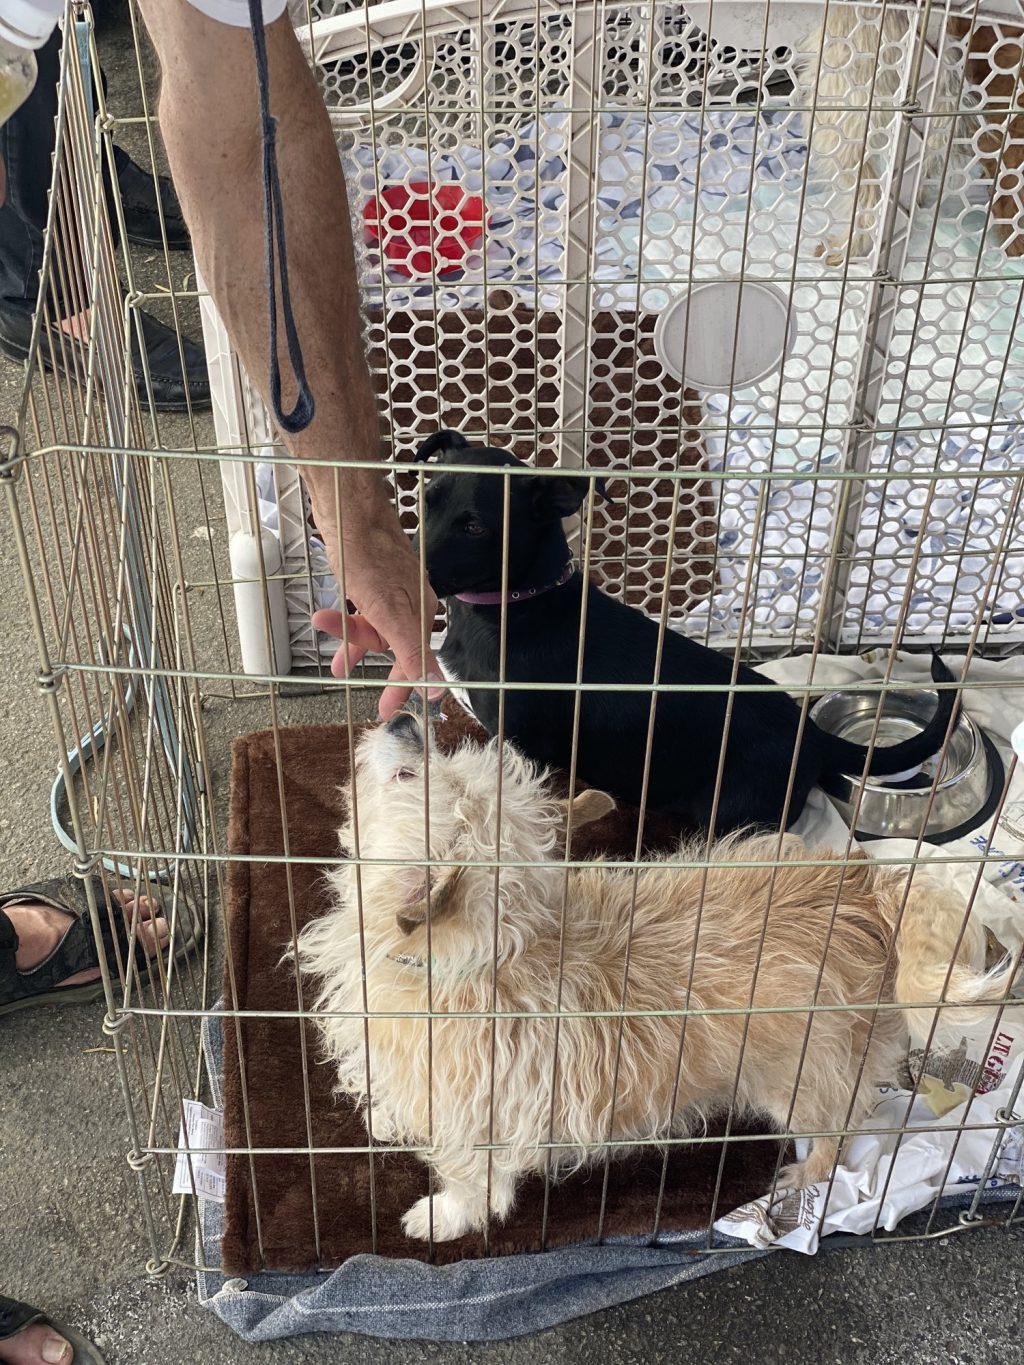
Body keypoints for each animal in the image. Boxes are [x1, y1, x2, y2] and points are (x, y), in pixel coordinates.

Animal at [296, 709, 1021, 1244]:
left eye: (410, 773)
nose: (407, 718)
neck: (484, 949)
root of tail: (868, 890)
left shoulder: (484, 1121)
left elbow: (474, 1181)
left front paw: (442, 1217)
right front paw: (386, 1116)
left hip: (797, 1076)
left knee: (839, 1125)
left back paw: (806, 1176)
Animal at [412, 428, 961, 829]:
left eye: (476, 527)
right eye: (426, 499)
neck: (513, 605)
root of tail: (812, 735)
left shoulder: (525, 747)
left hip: (732, 814)